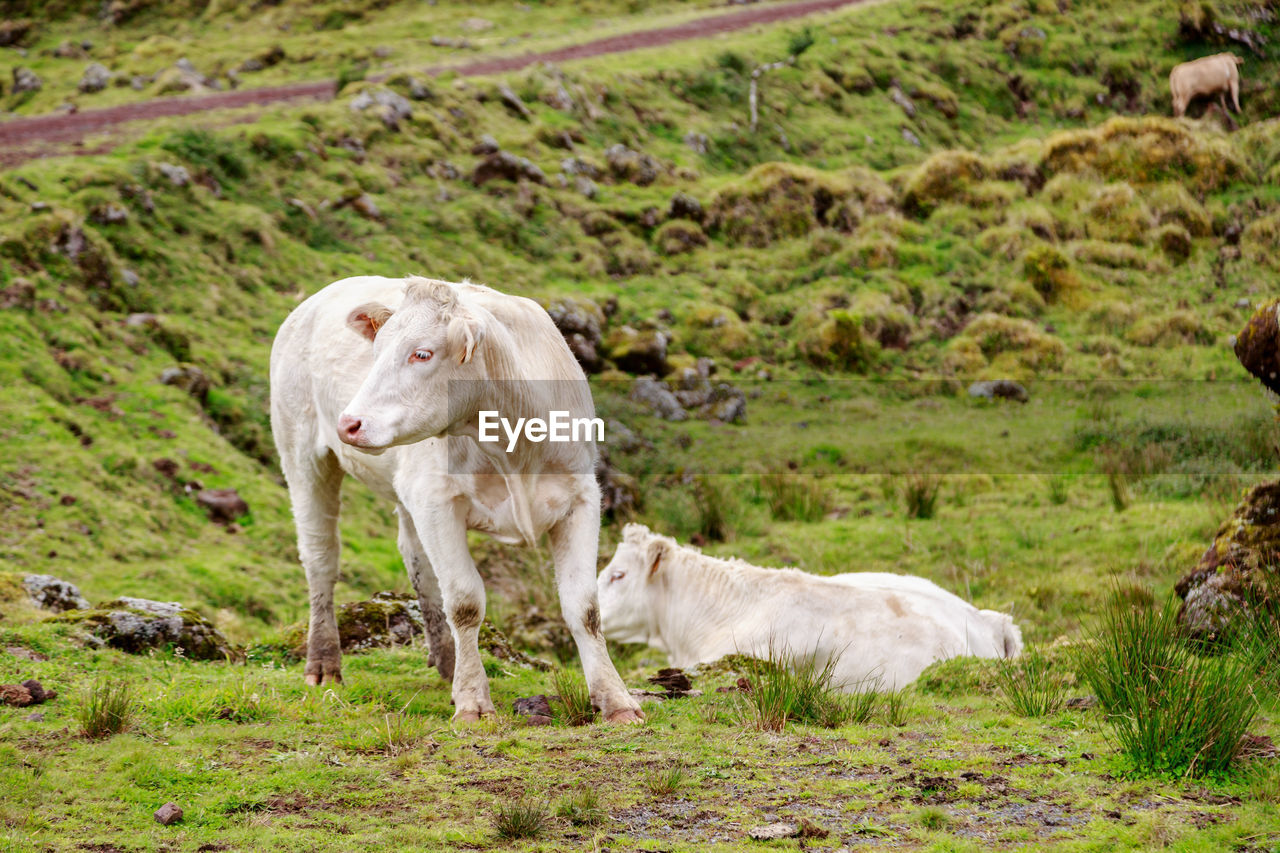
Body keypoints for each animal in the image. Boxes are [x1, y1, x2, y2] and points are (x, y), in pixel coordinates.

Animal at [273, 275, 645, 722]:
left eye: (422, 353)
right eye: (376, 352)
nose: (350, 423)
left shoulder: (581, 498)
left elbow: (584, 607)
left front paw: (616, 700)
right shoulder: (436, 500)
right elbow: (465, 602)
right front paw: (473, 702)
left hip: (405, 490)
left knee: (418, 562)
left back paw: (447, 662)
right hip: (303, 456)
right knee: (321, 558)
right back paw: (324, 662)